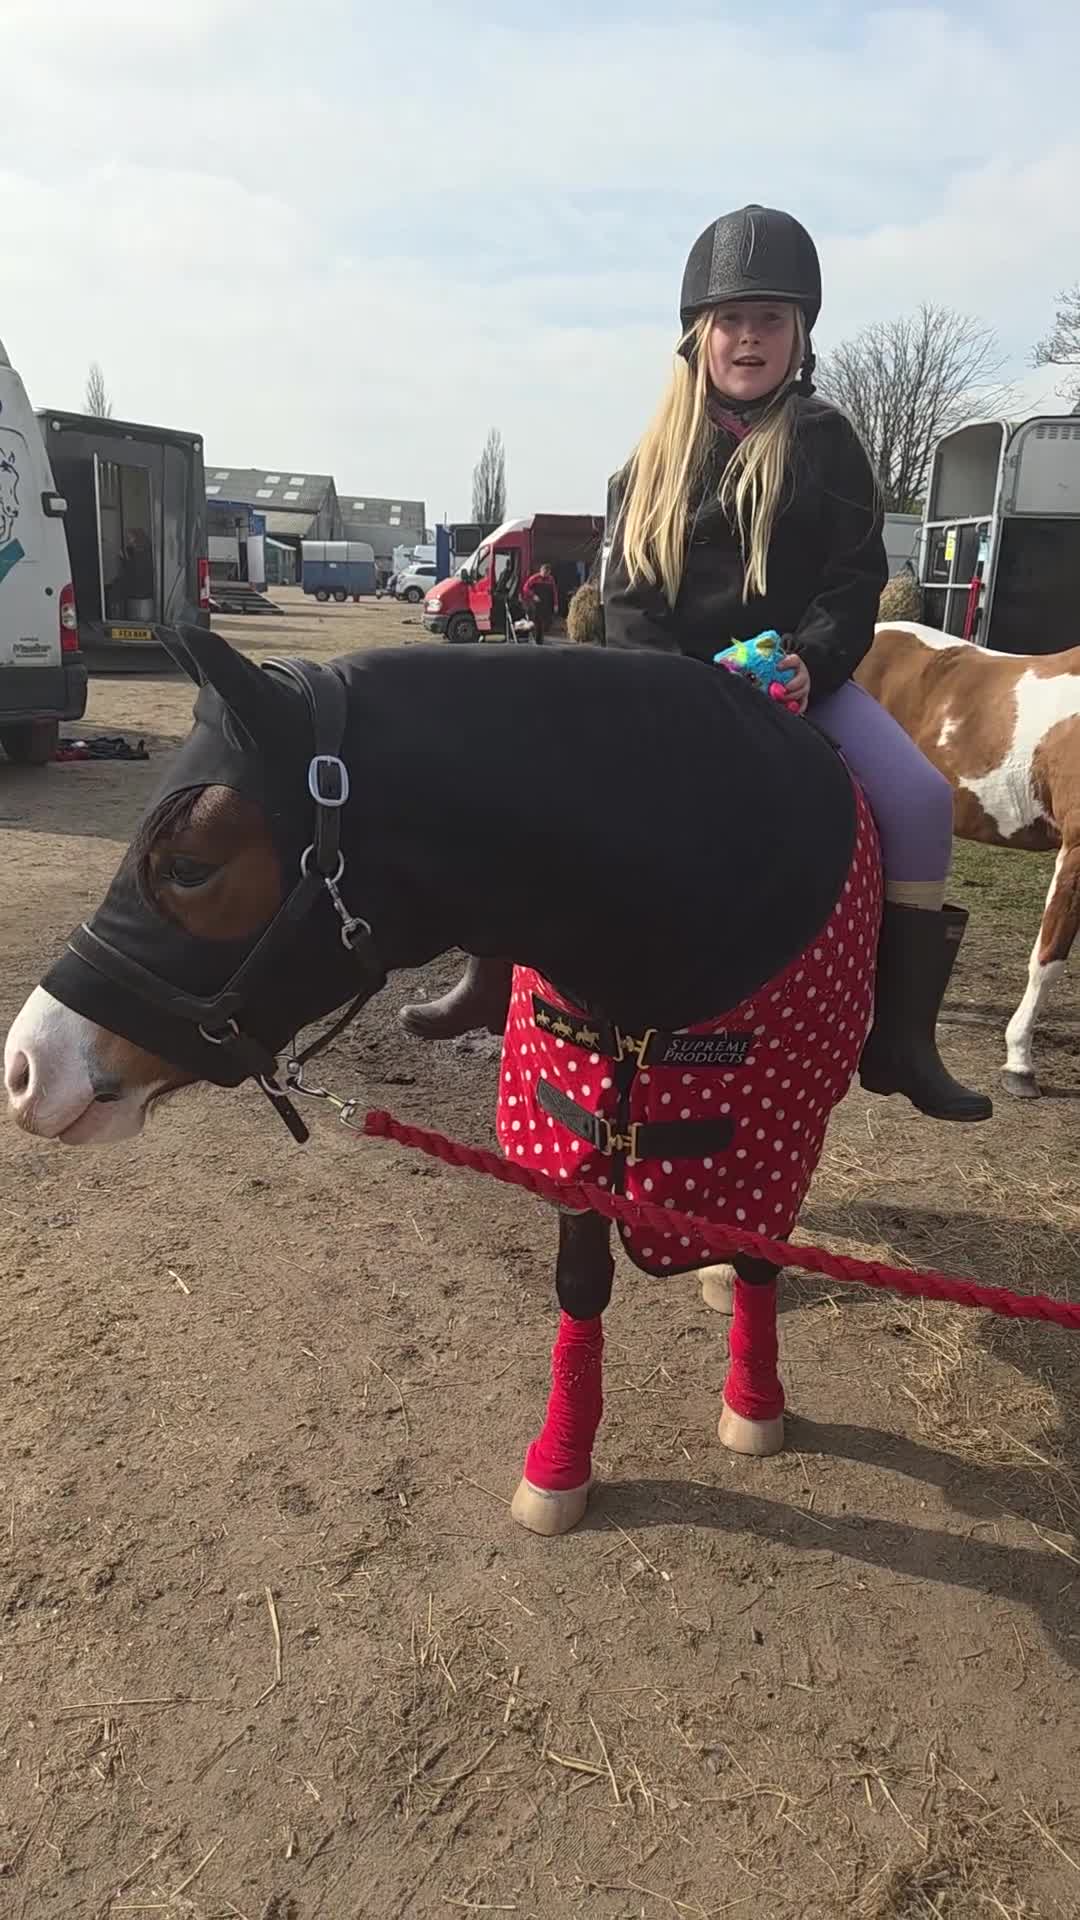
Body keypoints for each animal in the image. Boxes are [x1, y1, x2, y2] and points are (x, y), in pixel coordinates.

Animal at [4, 627, 881, 1537]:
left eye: (187, 867)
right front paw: (560, 1466)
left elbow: (763, 1256)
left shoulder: (776, 1131)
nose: (28, 1066)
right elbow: (583, 1283)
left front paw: (755, 1402)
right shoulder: (568, 1125)